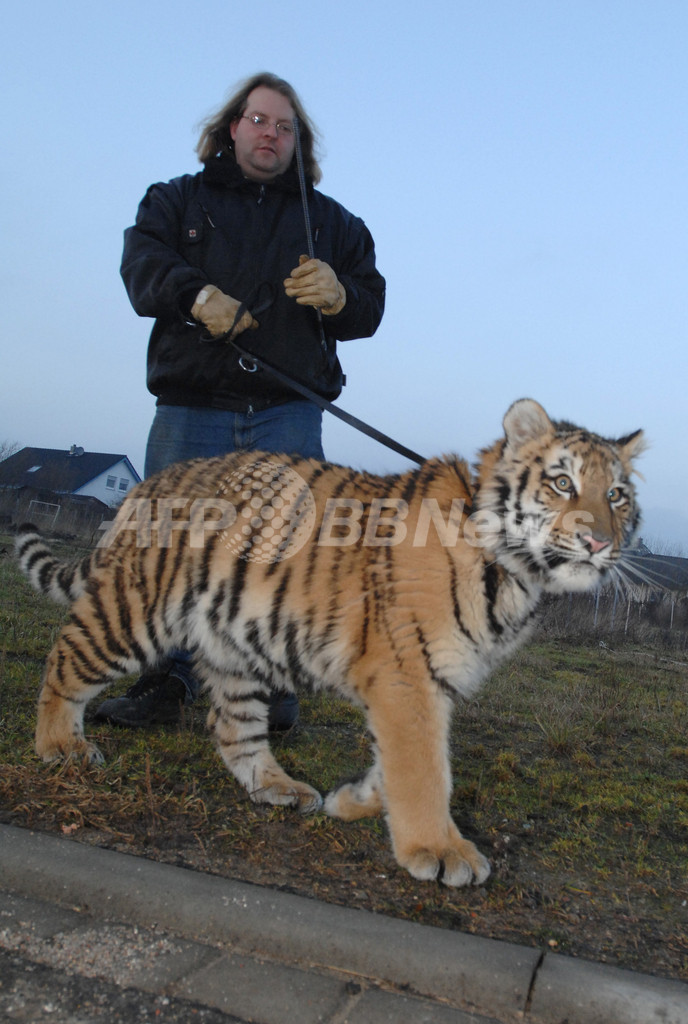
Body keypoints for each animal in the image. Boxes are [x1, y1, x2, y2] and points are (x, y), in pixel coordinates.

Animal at [15, 398, 644, 887]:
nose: (597, 542)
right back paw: (61, 747)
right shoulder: (406, 674)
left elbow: (402, 763)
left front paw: (354, 801)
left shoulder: (430, 679)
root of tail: (154, 480)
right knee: (64, 658)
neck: (517, 575)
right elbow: (424, 768)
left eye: (616, 495)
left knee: (232, 724)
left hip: (236, 641)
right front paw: (439, 851)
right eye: (562, 483)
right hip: (136, 611)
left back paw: (277, 788)